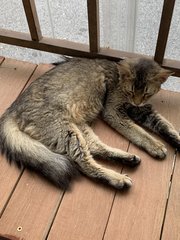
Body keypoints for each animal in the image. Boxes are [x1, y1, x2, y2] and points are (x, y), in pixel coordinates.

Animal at [0, 57, 180, 190]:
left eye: (146, 93)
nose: (136, 102)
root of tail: (12, 109)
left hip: (80, 128)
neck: (119, 78)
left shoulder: (143, 110)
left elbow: (166, 126)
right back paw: (117, 178)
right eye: (131, 91)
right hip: (67, 132)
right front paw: (155, 145)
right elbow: (139, 132)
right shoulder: (114, 112)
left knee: (95, 147)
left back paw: (127, 159)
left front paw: (176, 140)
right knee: (83, 162)